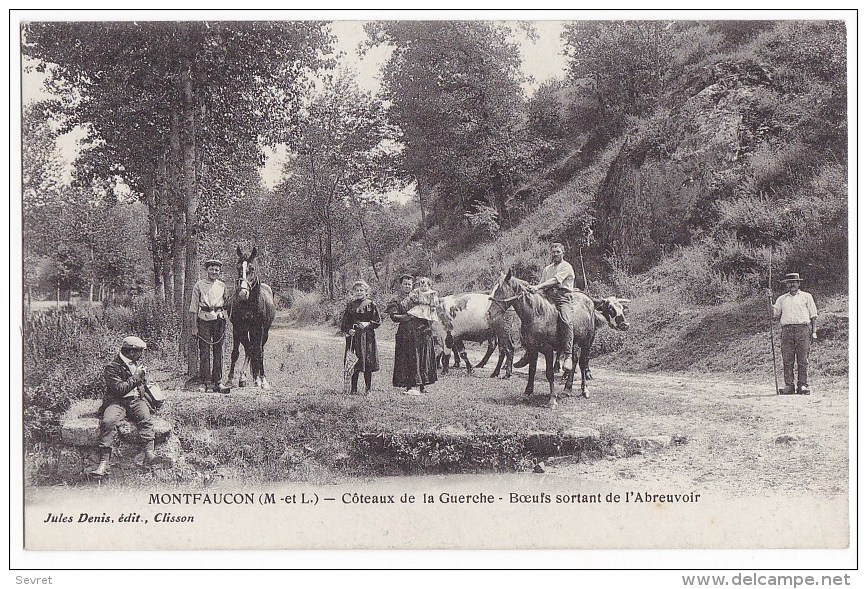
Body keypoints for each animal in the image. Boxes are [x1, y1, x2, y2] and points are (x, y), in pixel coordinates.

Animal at [227, 246, 274, 388]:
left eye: (252, 268)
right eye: (238, 267)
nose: (242, 293)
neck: (248, 305)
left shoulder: (260, 329)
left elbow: (259, 352)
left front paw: (263, 380)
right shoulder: (237, 328)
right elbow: (235, 353)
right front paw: (230, 379)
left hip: (262, 333)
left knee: (257, 349)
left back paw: (257, 378)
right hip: (245, 332)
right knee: (249, 348)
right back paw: (246, 378)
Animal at [492, 268, 628, 406]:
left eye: (500, 290)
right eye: (611, 308)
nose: (490, 312)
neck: (538, 314)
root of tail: (589, 301)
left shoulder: (548, 350)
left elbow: (549, 373)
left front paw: (552, 399)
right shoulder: (532, 348)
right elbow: (532, 370)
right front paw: (527, 393)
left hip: (586, 342)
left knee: (582, 363)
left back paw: (584, 390)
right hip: (573, 342)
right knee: (573, 360)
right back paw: (567, 388)